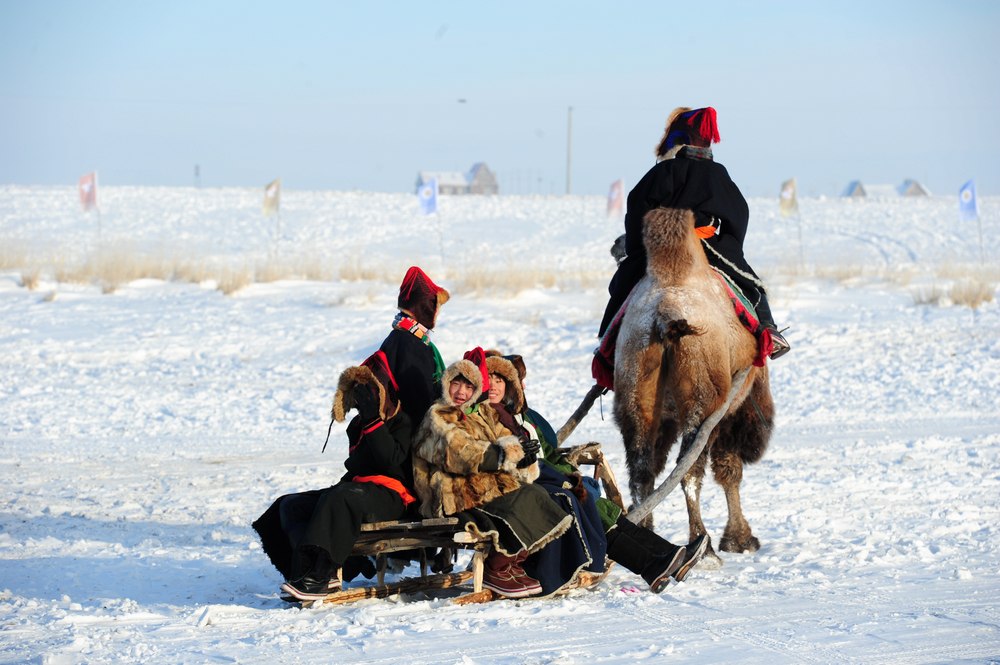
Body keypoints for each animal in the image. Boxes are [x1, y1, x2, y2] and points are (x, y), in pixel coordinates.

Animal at [608, 206, 772, 564]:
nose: (617, 244)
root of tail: (665, 316)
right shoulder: (731, 409)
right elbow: (729, 469)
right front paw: (740, 539)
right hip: (702, 398)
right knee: (689, 471)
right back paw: (704, 548)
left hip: (635, 389)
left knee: (642, 472)